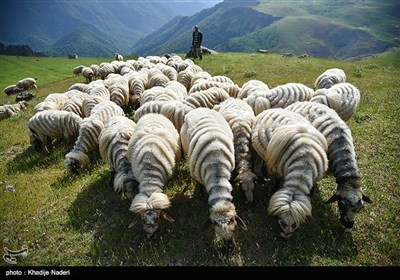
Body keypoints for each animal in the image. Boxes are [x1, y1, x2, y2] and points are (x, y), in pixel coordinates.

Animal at [180, 108, 247, 248]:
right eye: (216, 232)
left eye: (234, 227)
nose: (230, 249)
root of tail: (199, 109)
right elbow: (199, 184)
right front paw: (199, 194)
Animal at [253, 108, 328, 237]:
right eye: (282, 222)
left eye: (294, 224)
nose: (285, 237)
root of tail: (271, 109)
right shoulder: (279, 169)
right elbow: (277, 181)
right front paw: (273, 190)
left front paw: (311, 195)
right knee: (264, 161)